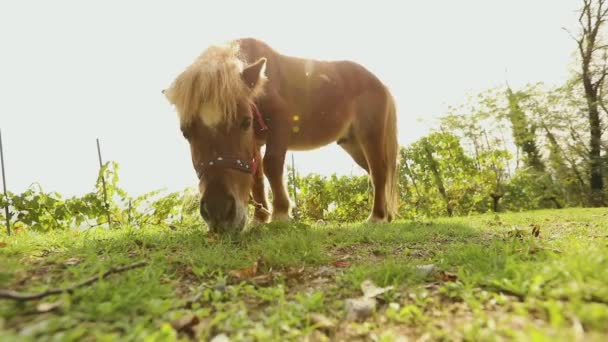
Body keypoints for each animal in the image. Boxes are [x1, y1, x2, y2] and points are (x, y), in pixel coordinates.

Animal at [163, 38, 400, 235]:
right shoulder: (255, 143)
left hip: (370, 136)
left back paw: (377, 217)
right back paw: (387, 215)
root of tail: (379, 84)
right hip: (353, 145)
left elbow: (272, 165)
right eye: (185, 132)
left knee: (378, 172)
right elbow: (257, 177)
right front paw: (260, 218)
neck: (262, 88)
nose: (218, 211)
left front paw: (280, 213)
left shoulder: (280, 127)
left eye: (245, 122)